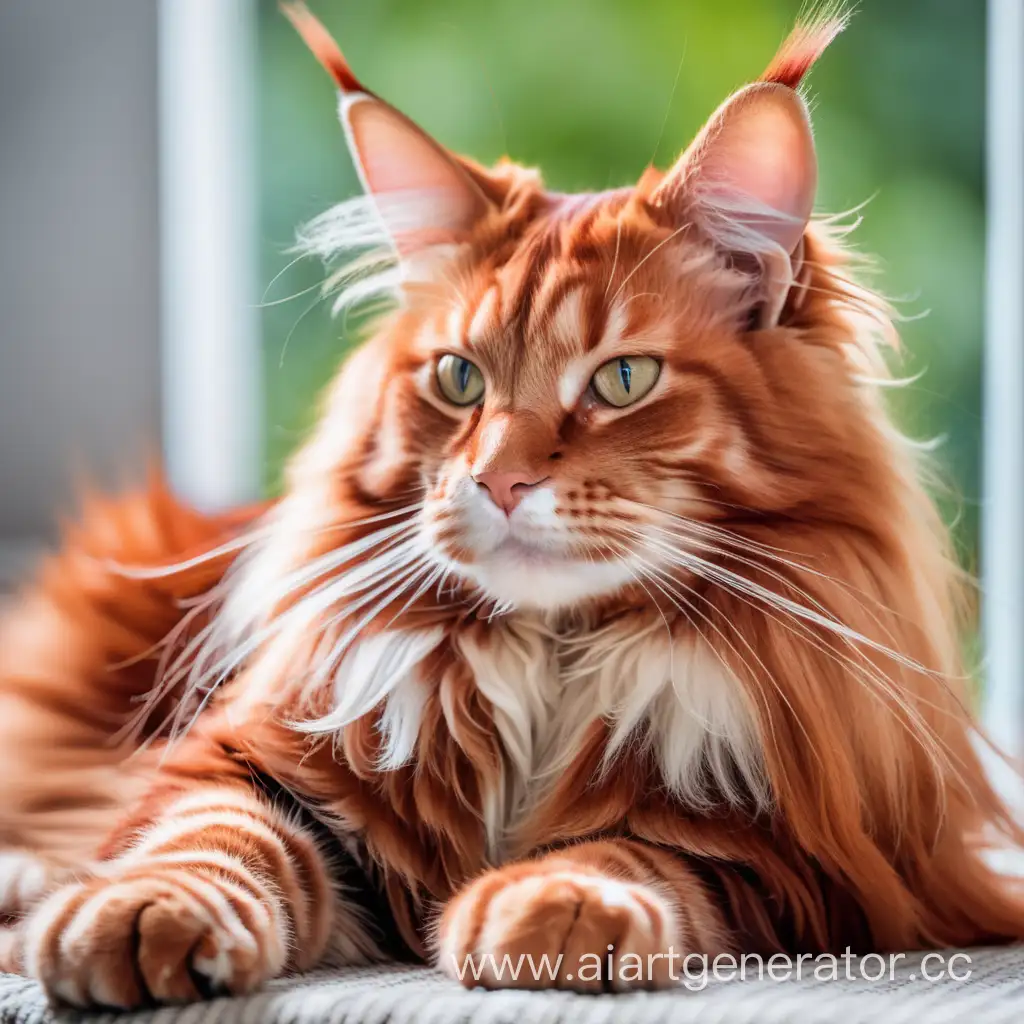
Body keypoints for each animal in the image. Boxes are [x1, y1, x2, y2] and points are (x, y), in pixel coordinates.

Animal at [2, 0, 1024, 1007]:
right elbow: (212, 839)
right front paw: (137, 914)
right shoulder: (254, 759)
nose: (496, 478)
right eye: (460, 379)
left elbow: (638, 849)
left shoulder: (795, 860)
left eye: (623, 379)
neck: (552, 659)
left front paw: (556, 904)